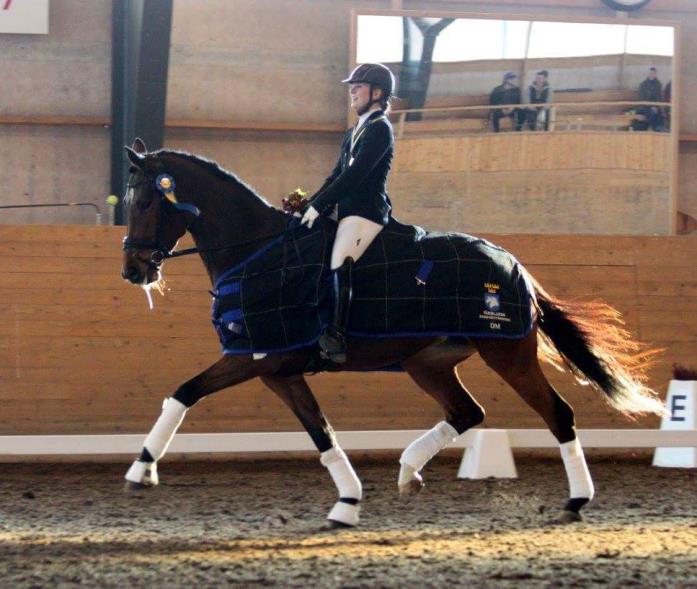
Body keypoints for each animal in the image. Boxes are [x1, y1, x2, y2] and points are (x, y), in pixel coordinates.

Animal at [119, 139, 664, 528]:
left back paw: (576, 500)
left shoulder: (254, 359)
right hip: (427, 363)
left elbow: (183, 393)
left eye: (145, 200)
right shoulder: (278, 371)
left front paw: (140, 470)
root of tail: (514, 266)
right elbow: (321, 433)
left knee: (558, 414)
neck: (257, 252)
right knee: (467, 412)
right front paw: (347, 503)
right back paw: (408, 471)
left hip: (507, 354)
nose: (133, 270)